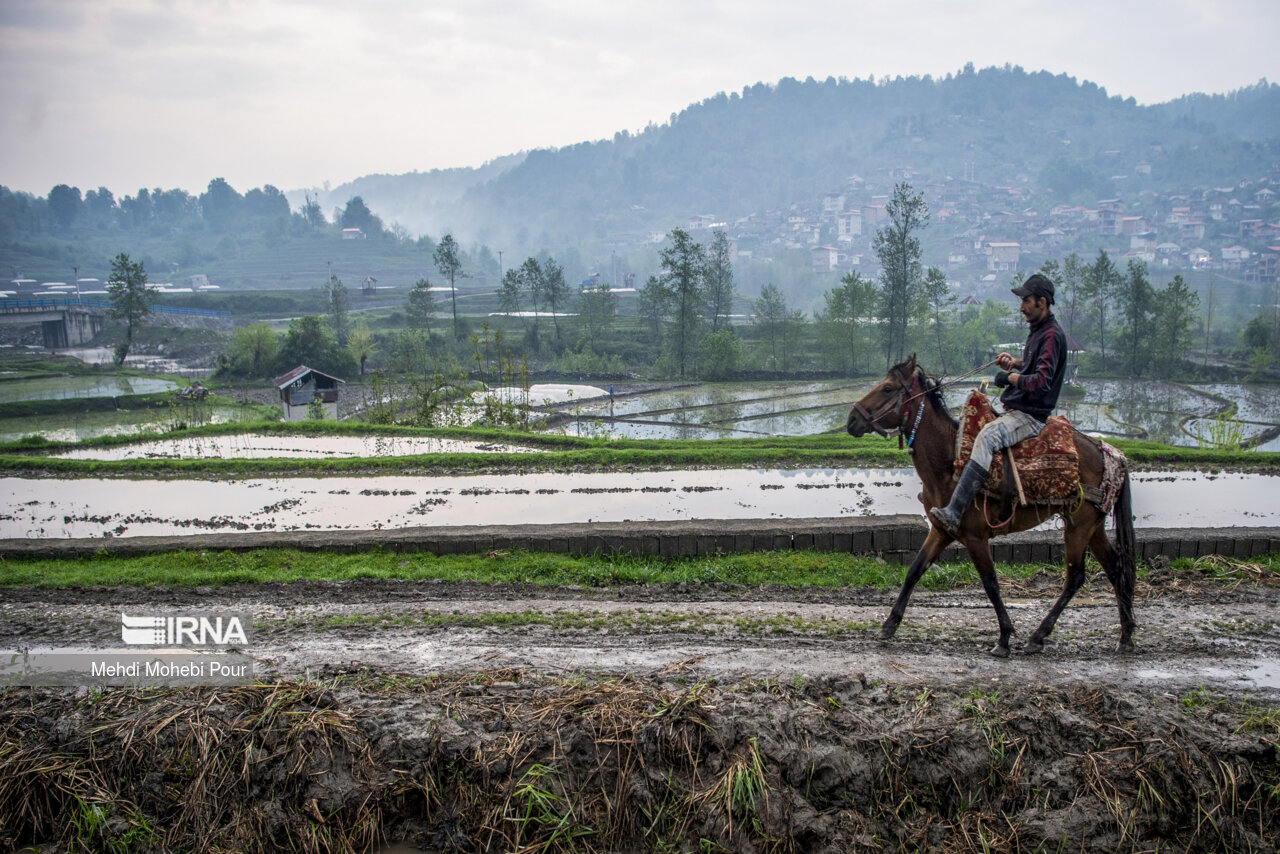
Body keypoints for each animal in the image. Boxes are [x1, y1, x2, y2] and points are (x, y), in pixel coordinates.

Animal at [844, 358, 1136, 660]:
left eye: (888, 388)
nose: (852, 419)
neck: (949, 463)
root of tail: (1111, 454)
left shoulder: (975, 537)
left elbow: (990, 582)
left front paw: (1004, 637)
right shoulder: (941, 530)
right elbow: (914, 570)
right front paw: (889, 625)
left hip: (1078, 526)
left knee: (1075, 576)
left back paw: (1039, 636)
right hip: (1093, 526)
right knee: (1115, 568)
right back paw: (1125, 635)